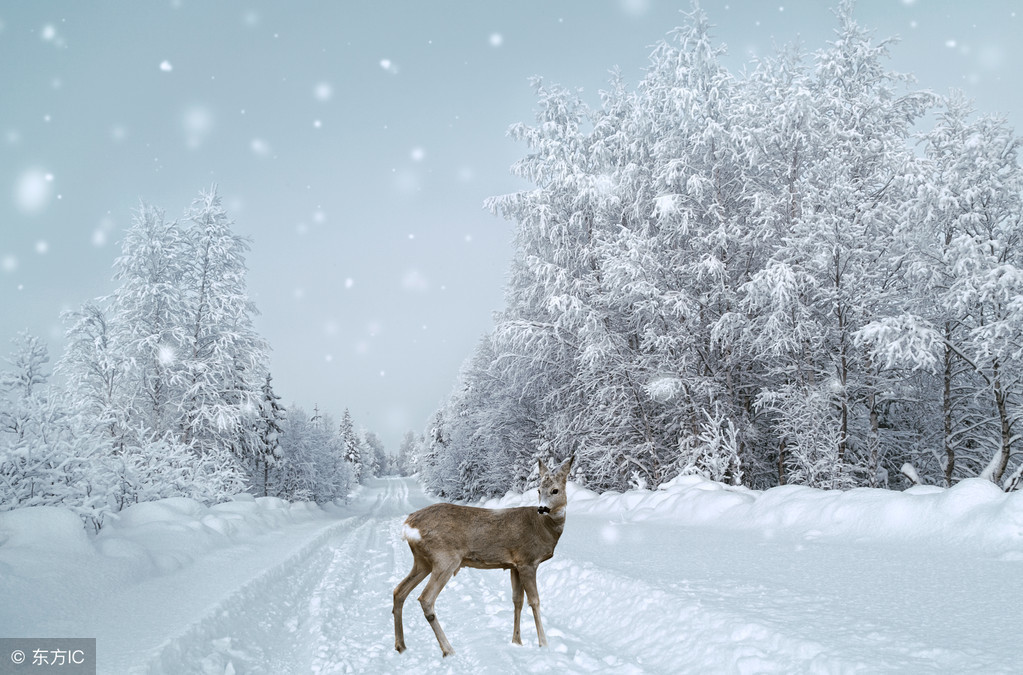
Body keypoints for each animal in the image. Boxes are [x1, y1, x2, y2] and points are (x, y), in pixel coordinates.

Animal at [392, 456, 576, 654]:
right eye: (539, 490)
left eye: (555, 490)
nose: (542, 508)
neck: (543, 527)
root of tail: (408, 526)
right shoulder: (528, 561)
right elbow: (534, 601)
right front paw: (543, 644)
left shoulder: (514, 565)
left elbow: (517, 600)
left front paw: (517, 641)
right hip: (445, 558)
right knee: (425, 599)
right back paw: (448, 650)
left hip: (423, 561)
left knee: (399, 591)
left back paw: (401, 646)